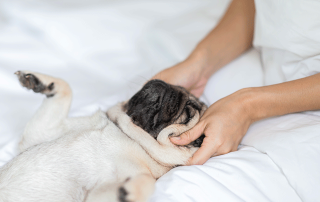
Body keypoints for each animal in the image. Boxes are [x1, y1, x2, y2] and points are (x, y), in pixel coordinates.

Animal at [0, 71, 206, 202]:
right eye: (178, 86)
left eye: (188, 113)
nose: (168, 88)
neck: (131, 136)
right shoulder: (43, 131)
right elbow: (66, 89)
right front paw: (40, 81)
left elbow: (148, 182)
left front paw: (130, 191)